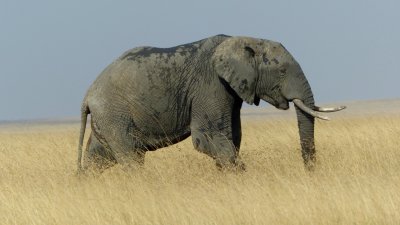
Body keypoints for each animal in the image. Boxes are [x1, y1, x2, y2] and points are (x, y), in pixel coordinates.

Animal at [76, 34, 346, 173]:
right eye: (281, 71)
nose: (309, 174)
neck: (244, 40)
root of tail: (87, 94)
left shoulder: (230, 91)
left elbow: (232, 137)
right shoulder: (210, 86)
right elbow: (209, 137)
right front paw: (241, 175)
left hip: (107, 117)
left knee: (98, 158)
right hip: (114, 114)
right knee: (131, 157)